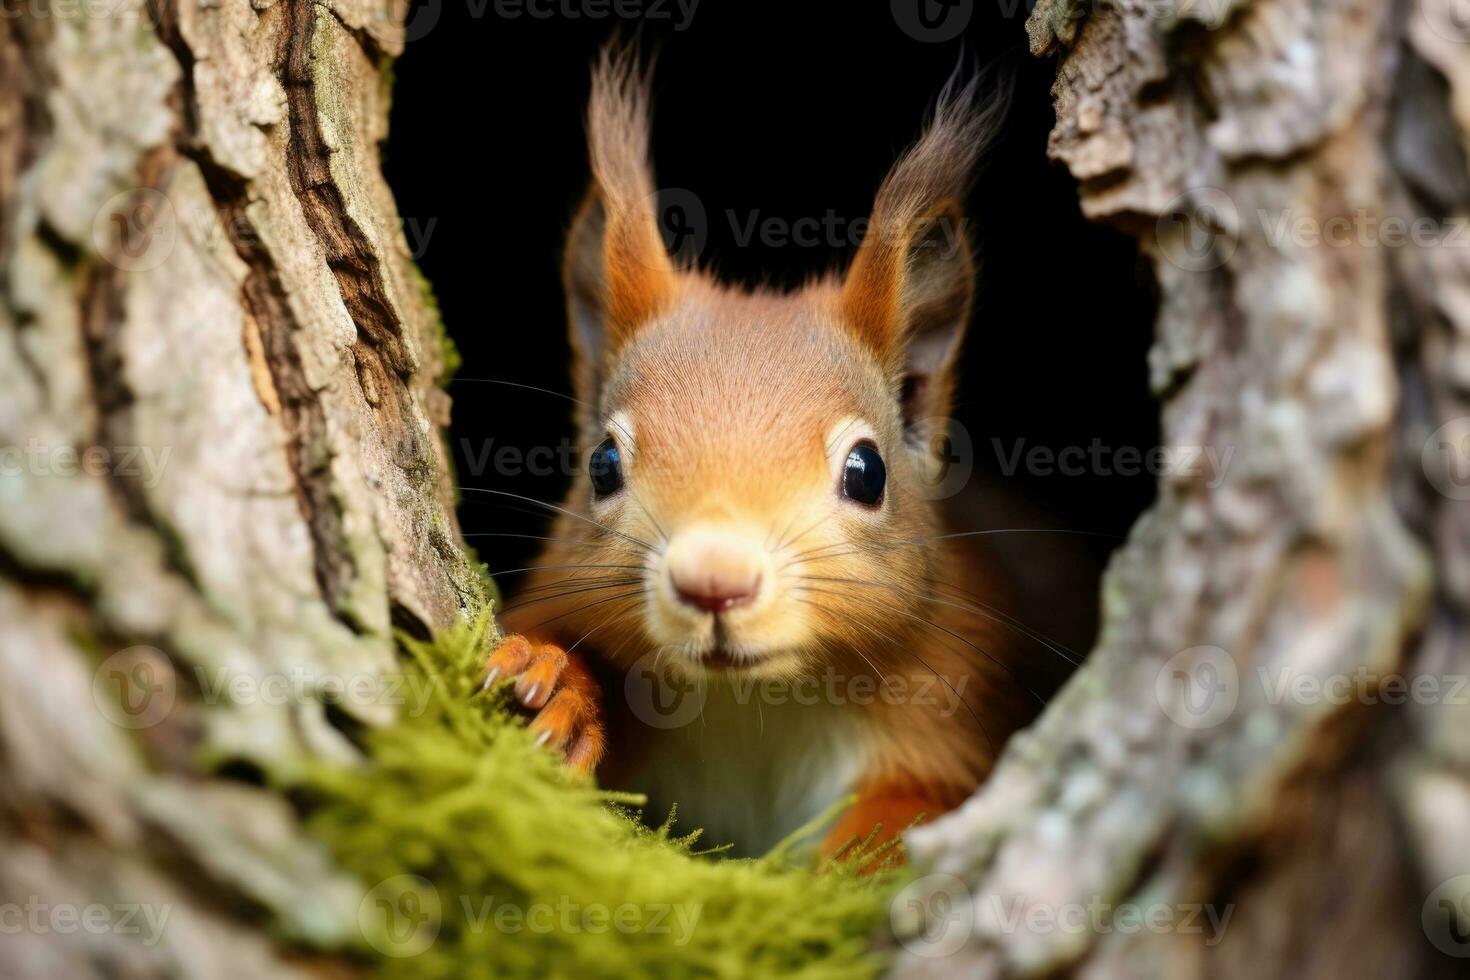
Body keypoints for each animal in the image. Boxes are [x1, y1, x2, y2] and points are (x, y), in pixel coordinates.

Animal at [488, 47, 1029, 858]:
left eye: (867, 472)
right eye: (602, 465)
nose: (715, 580)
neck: (752, 705)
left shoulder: (953, 699)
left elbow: (918, 809)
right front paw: (558, 684)